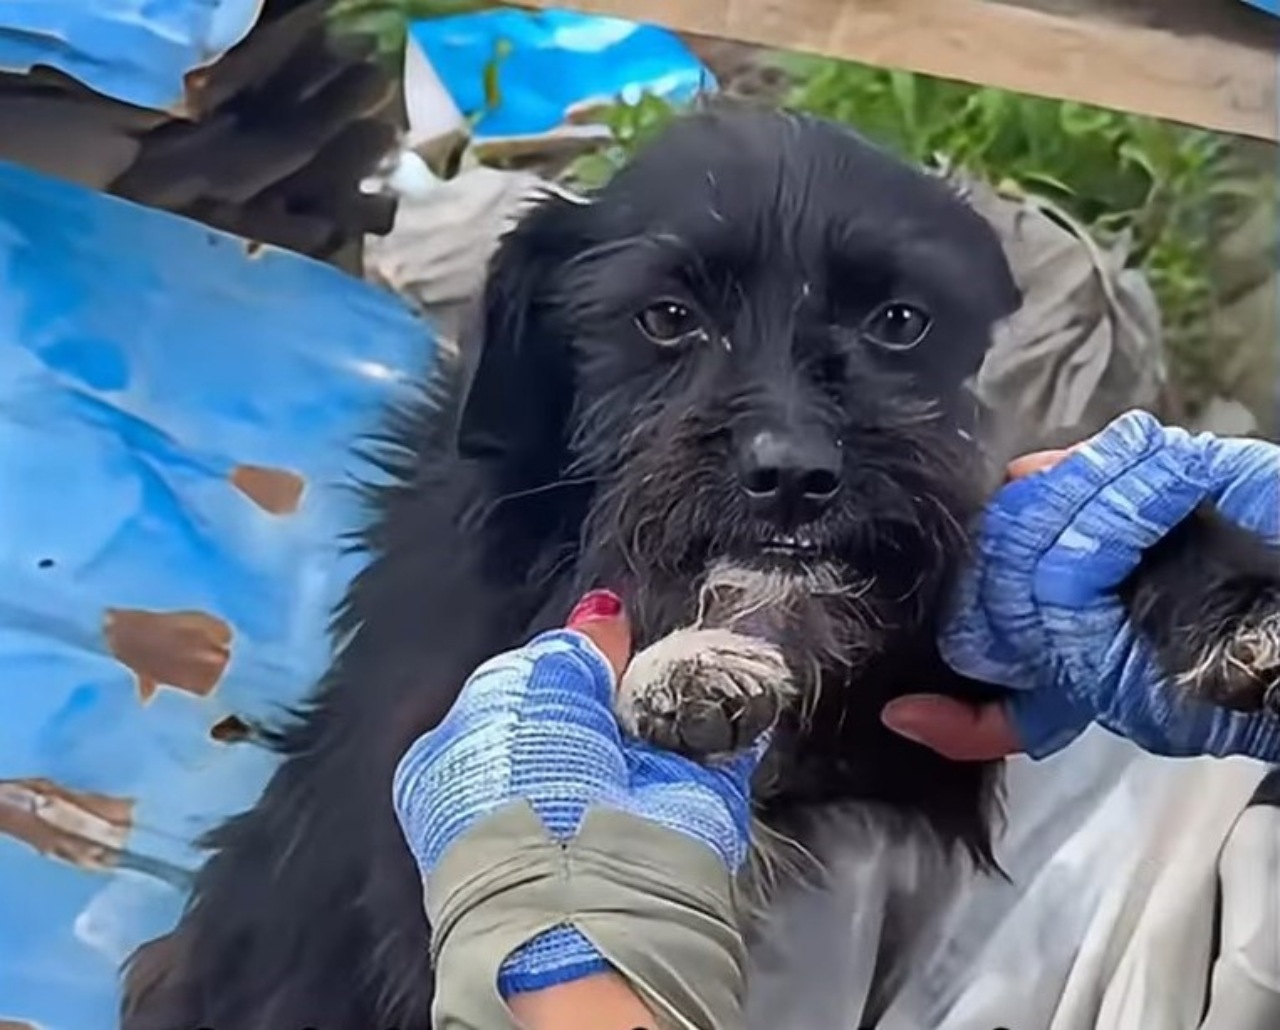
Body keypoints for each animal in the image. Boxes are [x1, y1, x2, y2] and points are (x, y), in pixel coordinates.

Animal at [122, 106, 1280, 1028]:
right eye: (668, 318)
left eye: (898, 321)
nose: (795, 478)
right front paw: (673, 667)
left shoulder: (911, 703)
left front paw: (1219, 588)